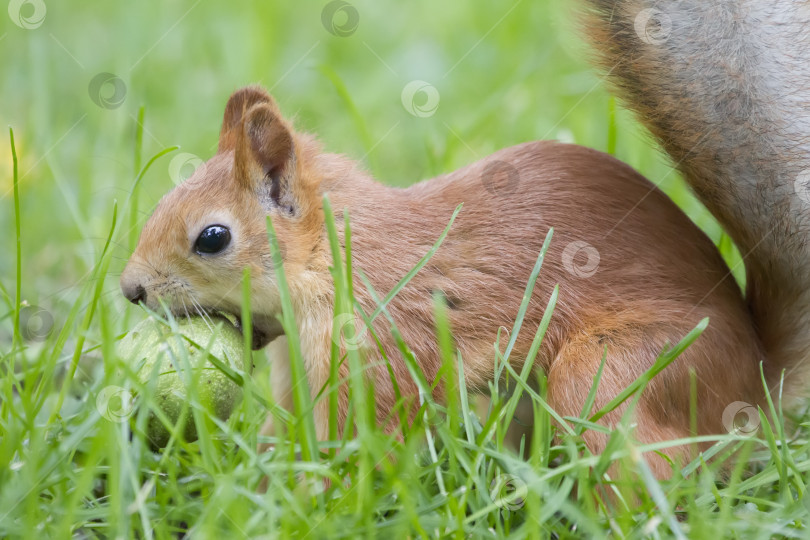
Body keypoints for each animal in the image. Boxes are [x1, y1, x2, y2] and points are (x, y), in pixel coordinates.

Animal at [118, 2, 808, 478]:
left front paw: (307, 493)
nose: (130, 290)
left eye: (212, 238)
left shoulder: (382, 342)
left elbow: (364, 437)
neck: (336, 259)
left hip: (618, 371)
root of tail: (756, 383)